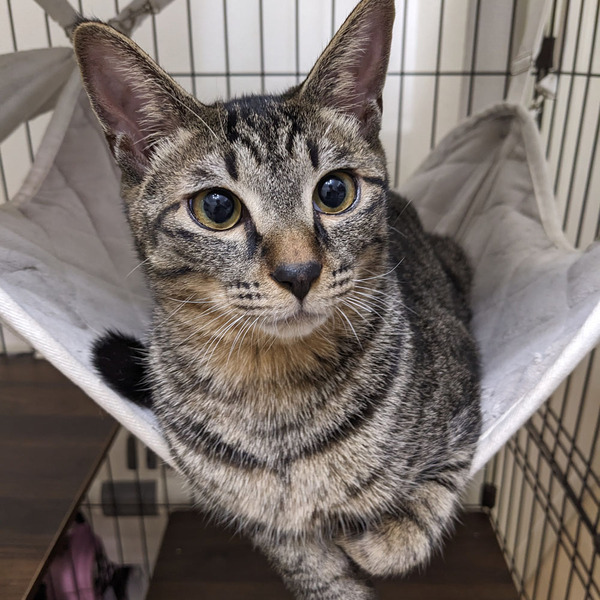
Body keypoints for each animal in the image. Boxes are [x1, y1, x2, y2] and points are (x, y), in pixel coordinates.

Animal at [74, 0, 481, 598]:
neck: (275, 395)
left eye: (335, 191)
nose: (299, 273)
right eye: (217, 207)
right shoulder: (269, 526)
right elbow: (313, 570)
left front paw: (369, 537)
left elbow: (413, 521)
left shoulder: (462, 409)